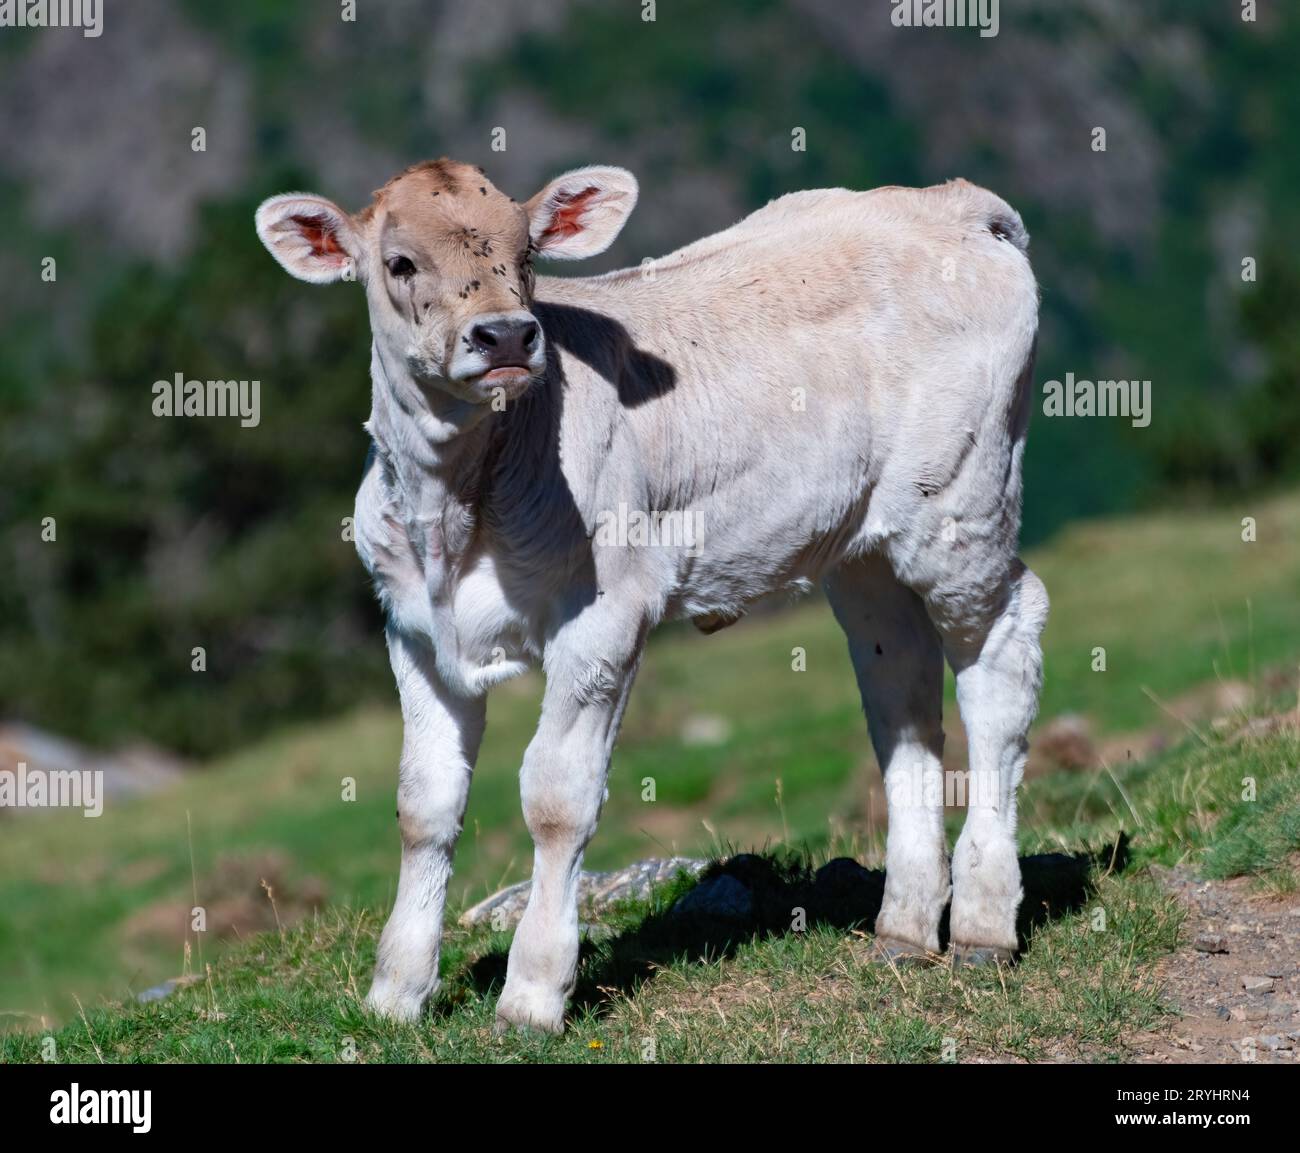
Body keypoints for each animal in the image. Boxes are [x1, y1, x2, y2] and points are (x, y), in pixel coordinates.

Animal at [253, 157, 1045, 1034]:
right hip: (864, 542)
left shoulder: (604, 612)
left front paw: (532, 993)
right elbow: (423, 803)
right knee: (898, 682)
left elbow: (557, 799)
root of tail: (955, 201)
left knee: (1000, 656)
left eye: (526, 255)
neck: (454, 510)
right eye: (399, 263)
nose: (507, 335)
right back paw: (904, 927)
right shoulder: (415, 631)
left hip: (963, 504)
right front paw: (396, 992)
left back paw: (982, 923)